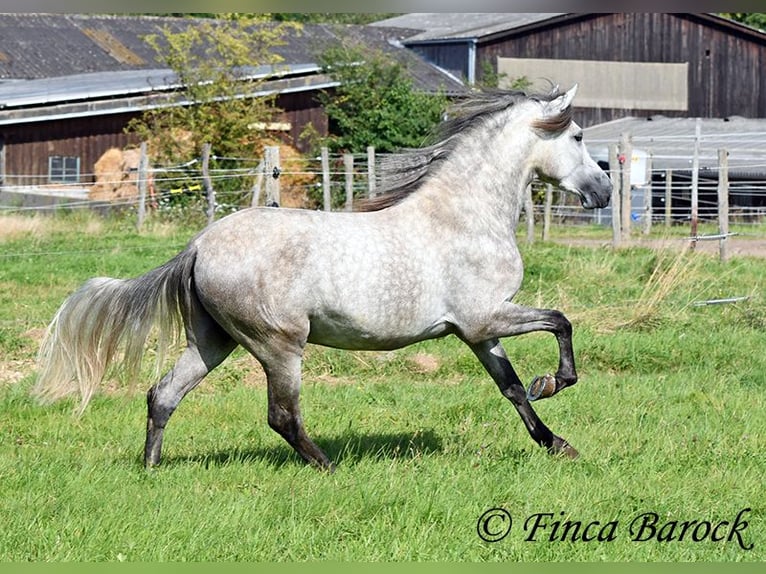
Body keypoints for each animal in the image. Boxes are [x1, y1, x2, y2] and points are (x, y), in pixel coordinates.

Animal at [34, 86, 612, 472]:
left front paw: (558, 443)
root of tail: (199, 245)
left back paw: (152, 468)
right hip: (280, 344)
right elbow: (561, 322)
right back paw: (330, 467)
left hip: (213, 340)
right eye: (579, 135)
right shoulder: (485, 317)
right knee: (281, 416)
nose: (604, 192)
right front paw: (554, 383)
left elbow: (511, 388)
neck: (464, 216)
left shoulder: (479, 331)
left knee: (163, 395)